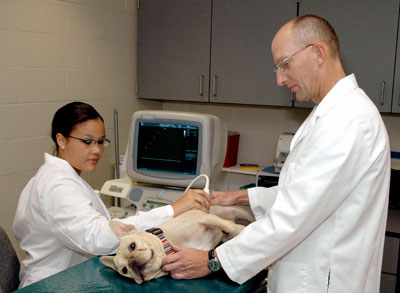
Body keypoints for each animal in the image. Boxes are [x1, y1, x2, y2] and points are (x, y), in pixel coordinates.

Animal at [101, 205, 256, 282]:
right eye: (124, 270)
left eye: (132, 246)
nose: (132, 262)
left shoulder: (205, 219)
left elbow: (228, 226)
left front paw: (242, 231)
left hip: (235, 211)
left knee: (237, 221)